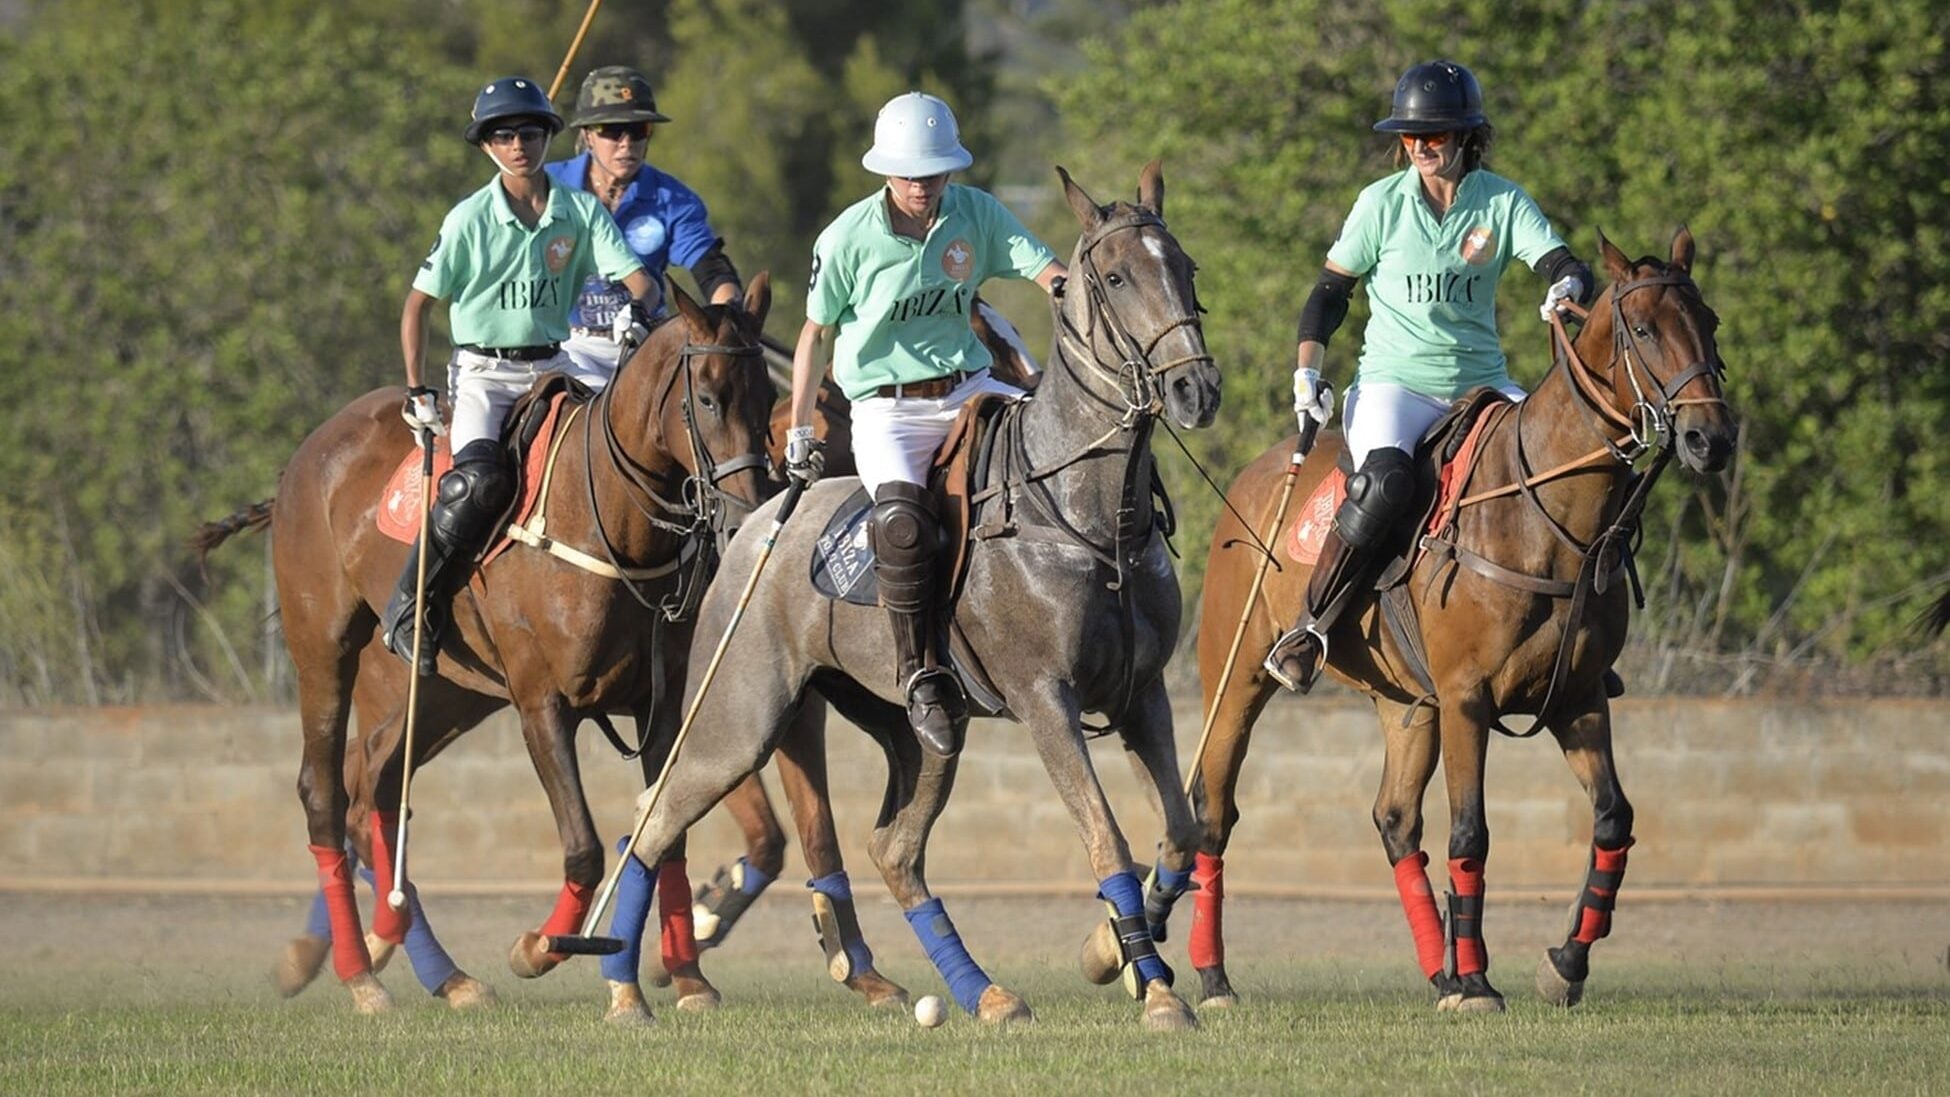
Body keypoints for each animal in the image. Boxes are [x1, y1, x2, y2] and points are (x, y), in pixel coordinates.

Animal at [194, 280, 806, 1015]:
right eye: (709, 397)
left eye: (766, 398)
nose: (750, 517)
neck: (609, 520)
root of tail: (304, 456)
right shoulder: (542, 703)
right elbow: (585, 847)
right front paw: (540, 948)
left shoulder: (658, 706)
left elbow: (666, 835)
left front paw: (685, 979)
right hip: (324, 650)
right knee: (324, 792)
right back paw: (362, 975)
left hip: (445, 690)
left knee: (376, 786)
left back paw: (440, 971)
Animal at [592, 160, 1223, 1031]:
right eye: (1119, 276)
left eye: (1187, 268)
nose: (1197, 388)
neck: (1091, 514)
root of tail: (755, 521)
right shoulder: (1045, 697)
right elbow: (1108, 837)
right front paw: (1155, 986)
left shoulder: (1141, 692)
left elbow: (1180, 831)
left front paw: (1109, 953)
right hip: (737, 717)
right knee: (655, 818)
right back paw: (624, 990)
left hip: (922, 734)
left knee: (895, 849)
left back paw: (983, 991)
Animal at [1158, 229, 1735, 1013]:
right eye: (1643, 330)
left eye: (1709, 322)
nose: (1713, 438)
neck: (1545, 516)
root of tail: (1261, 471)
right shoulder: (1468, 695)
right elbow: (1472, 834)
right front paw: (1481, 981)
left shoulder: (1578, 696)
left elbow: (1614, 817)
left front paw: (1562, 964)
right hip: (1238, 670)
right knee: (1214, 806)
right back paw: (1215, 976)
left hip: (1406, 702)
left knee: (1396, 819)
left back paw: (1439, 968)